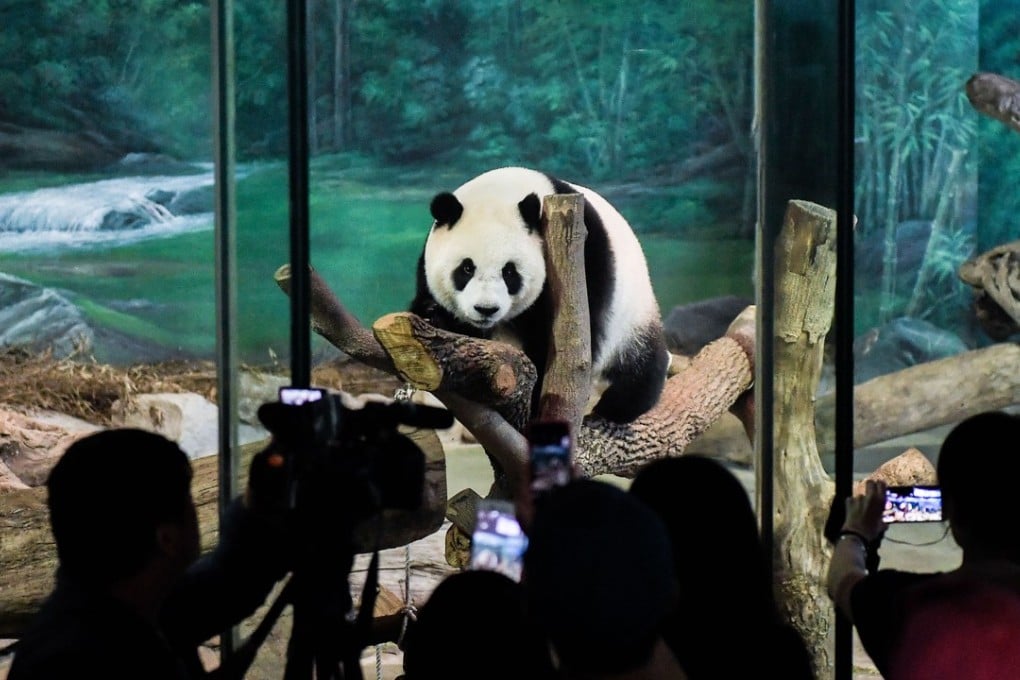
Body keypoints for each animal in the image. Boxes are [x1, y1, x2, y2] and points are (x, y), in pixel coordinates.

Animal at [409, 166, 669, 423]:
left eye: (509, 272)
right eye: (466, 268)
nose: (486, 309)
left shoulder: (582, 261)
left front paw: (535, 401)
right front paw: (435, 316)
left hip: (633, 313)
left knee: (641, 363)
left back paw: (619, 406)